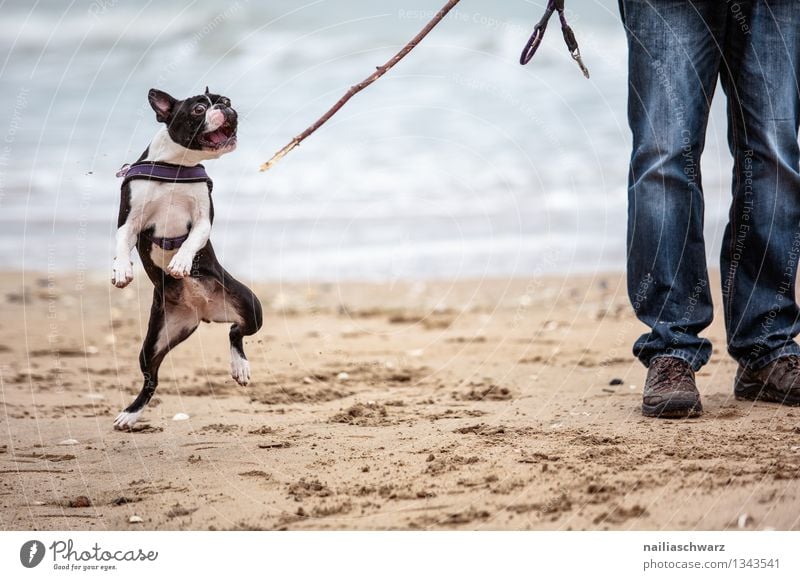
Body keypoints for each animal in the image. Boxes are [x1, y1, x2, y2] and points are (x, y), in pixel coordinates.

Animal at [111, 87, 262, 430]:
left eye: (227, 101)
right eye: (197, 110)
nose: (225, 108)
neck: (178, 166)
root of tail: (202, 311)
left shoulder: (203, 219)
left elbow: (192, 240)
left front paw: (180, 262)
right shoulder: (129, 220)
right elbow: (121, 242)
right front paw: (122, 271)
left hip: (250, 305)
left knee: (236, 332)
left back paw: (240, 366)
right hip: (154, 341)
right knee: (150, 378)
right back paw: (131, 413)